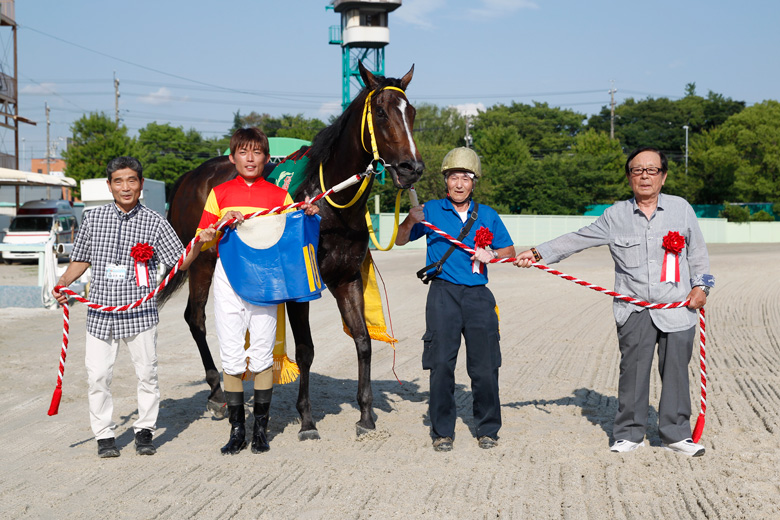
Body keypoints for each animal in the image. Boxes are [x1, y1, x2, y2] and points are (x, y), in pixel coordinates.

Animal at [161, 62, 424, 439]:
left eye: (411, 112)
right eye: (381, 112)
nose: (411, 168)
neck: (331, 201)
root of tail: (190, 176)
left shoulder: (347, 278)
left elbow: (362, 340)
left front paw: (365, 413)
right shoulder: (302, 287)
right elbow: (306, 350)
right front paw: (307, 419)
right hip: (202, 262)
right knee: (195, 317)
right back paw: (217, 393)